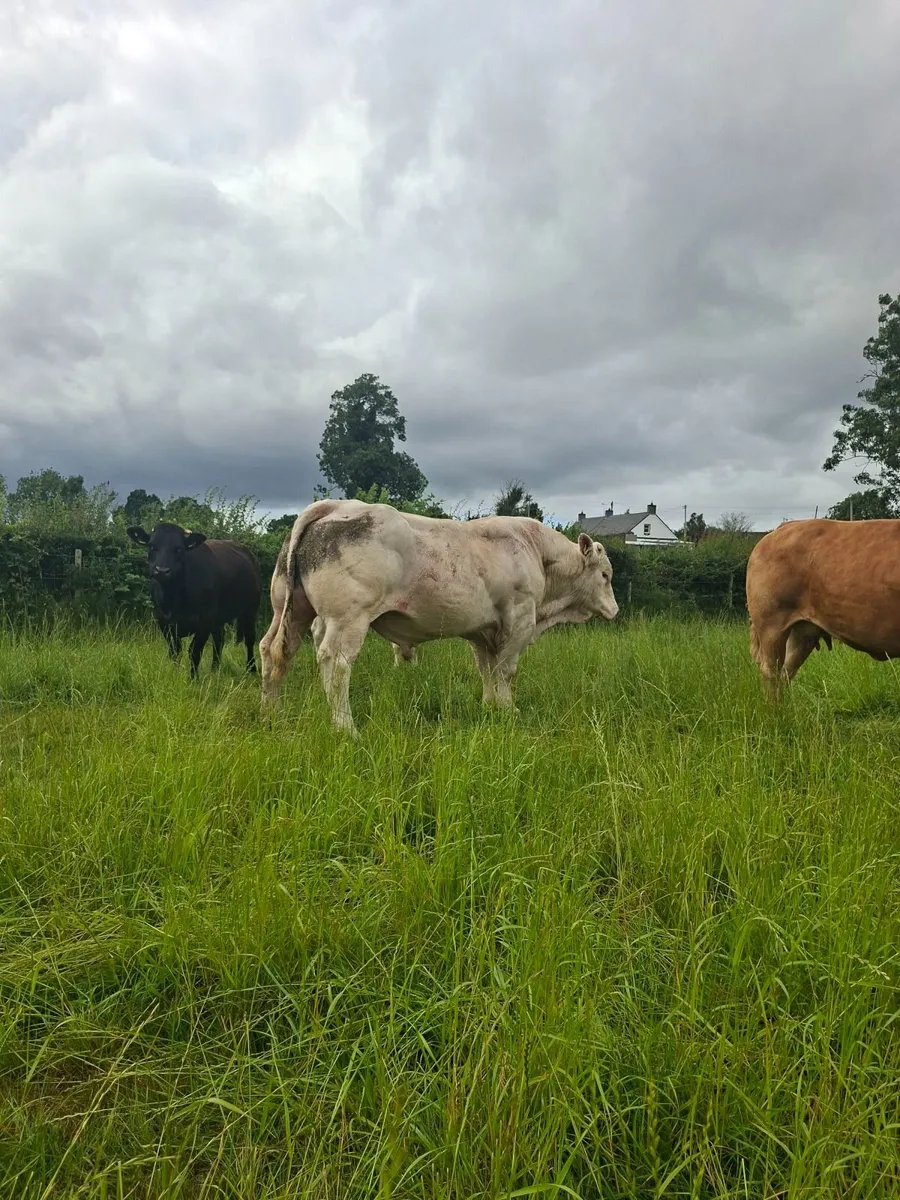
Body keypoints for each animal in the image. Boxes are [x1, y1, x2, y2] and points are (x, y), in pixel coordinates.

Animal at [127, 521, 262, 678]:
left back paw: (251, 669)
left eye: (179, 549)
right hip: (219, 618)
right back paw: (214, 669)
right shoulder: (163, 621)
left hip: (251, 608)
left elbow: (194, 652)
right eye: (152, 546)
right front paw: (175, 674)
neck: (175, 600)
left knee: (249, 639)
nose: (162, 570)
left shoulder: (205, 620)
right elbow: (175, 651)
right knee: (219, 639)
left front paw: (193, 678)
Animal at [259, 498, 619, 734]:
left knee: (273, 651)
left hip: (291, 611)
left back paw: (272, 715)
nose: (615, 610)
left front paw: (490, 705)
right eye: (605, 575)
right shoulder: (519, 621)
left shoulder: (483, 631)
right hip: (347, 618)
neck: (536, 553)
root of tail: (332, 506)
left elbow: (487, 669)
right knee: (336, 664)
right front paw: (509, 709)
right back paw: (346, 728)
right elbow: (506, 671)